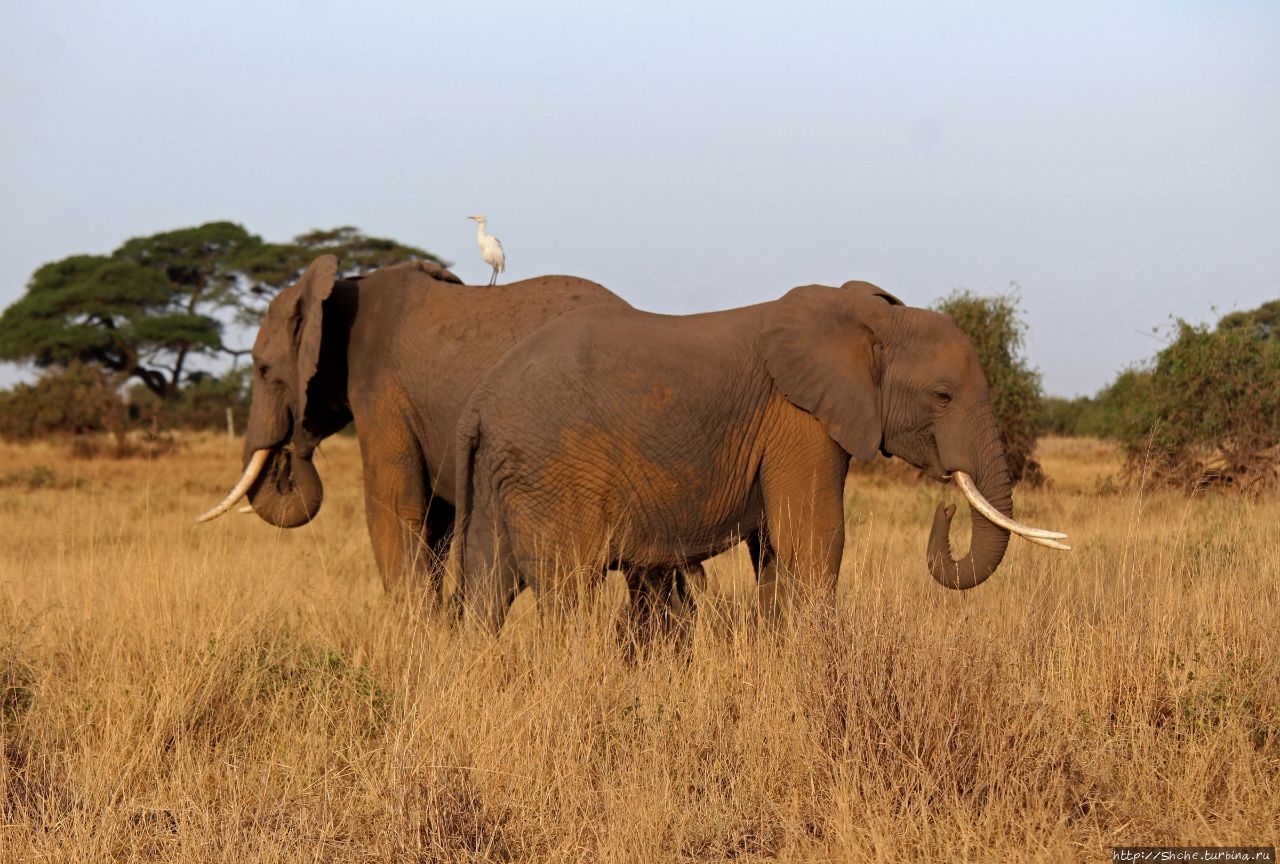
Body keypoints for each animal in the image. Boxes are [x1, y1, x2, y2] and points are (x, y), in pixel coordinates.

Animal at [197, 253, 632, 599]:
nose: (287, 458)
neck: (340, 291)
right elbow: (437, 521)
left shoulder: (383, 395)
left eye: (263, 369)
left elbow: (392, 508)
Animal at [455, 281, 1064, 629]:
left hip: (499, 475)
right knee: (568, 593)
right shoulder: (800, 420)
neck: (870, 321)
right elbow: (815, 539)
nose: (946, 507)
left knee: (488, 588)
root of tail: (479, 402)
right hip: (553, 470)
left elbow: (774, 547)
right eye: (943, 396)